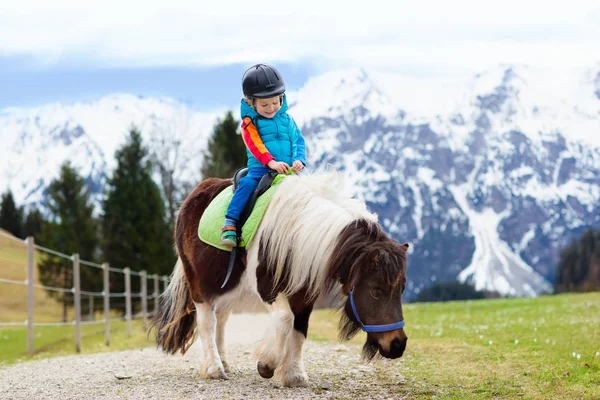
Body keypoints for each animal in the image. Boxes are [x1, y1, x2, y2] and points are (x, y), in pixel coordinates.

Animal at [154, 172, 408, 388]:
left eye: (401, 289)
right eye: (376, 291)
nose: (397, 344)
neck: (297, 233)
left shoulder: (305, 293)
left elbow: (300, 328)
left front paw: (294, 374)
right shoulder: (268, 288)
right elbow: (286, 320)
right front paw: (267, 364)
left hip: (228, 286)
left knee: (222, 318)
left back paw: (224, 362)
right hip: (199, 282)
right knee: (207, 320)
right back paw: (214, 369)